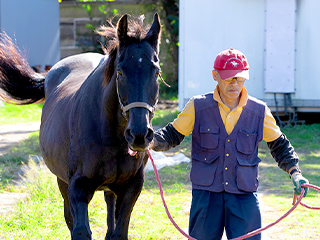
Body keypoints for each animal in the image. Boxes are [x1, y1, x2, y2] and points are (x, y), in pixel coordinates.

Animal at [0, 13, 160, 240]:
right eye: (120, 73)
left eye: (156, 73)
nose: (139, 135)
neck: (109, 134)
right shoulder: (78, 187)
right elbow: (80, 229)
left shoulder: (131, 188)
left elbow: (119, 232)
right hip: (62, 182)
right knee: (69, 217)